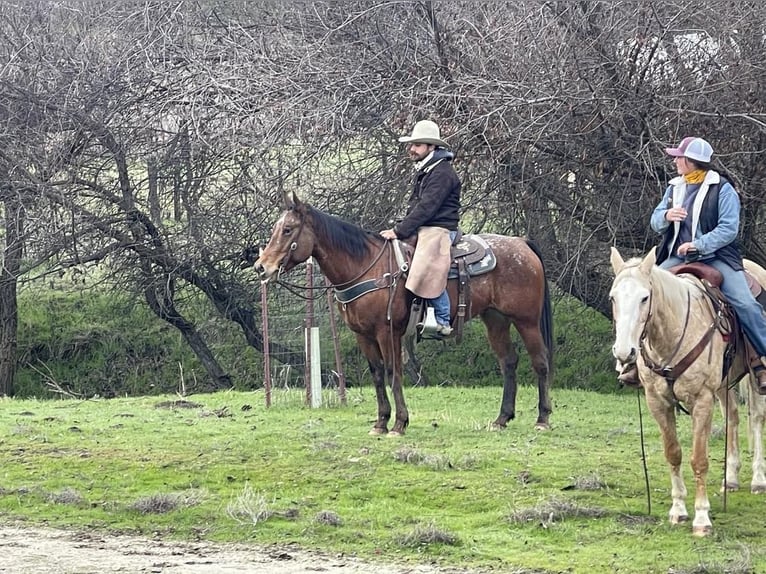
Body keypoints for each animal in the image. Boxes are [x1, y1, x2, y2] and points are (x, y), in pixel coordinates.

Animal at [255, 191, 556, 438]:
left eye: (288, 230)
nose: (261, 267)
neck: (366, 266)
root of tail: (522, 244)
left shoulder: (387, 332)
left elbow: (393, 372)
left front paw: (399, 423)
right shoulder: (363, 335)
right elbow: (377, 374)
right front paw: (380, 422)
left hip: (526, 321)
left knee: (540, 362)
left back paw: (542, 419)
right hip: (495, 320)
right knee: (509, 362)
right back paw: (502, 419)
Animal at [612, 246, 766, 536]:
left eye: (644, 298)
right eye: (613, 298)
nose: (624, 352)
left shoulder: (702, 400)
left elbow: (699, 459)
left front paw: (702, 517)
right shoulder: (658, 402)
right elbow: (673, 453)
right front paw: (678, 510)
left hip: (754, 380)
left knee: (756, 419)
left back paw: (758, 480)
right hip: (723, 385)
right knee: (732, 418)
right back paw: (731, 479)